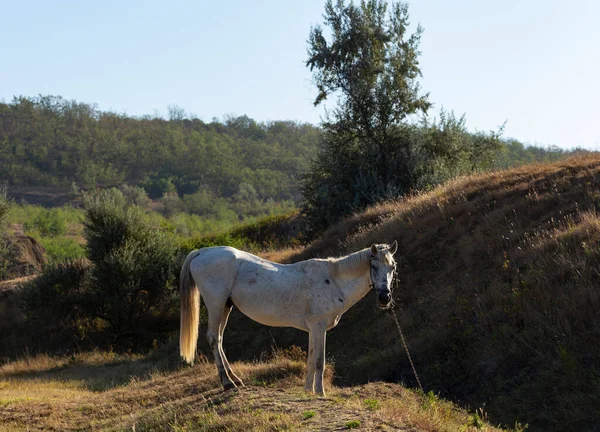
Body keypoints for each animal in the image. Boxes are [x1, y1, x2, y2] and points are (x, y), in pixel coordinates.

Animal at [178, 241, 398, 396]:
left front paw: (308, 391)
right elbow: (319, 361)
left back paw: (235, 380)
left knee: (219, 339)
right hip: (216, 305)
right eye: (374, 266)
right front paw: (320, 392)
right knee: (213, 338)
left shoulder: (313, 330)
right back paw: (227, 383)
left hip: (225, 306)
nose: (384, 298)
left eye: (393, 267)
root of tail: (202, 252)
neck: (334, 280)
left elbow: (310, 360)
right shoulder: (319, 328)